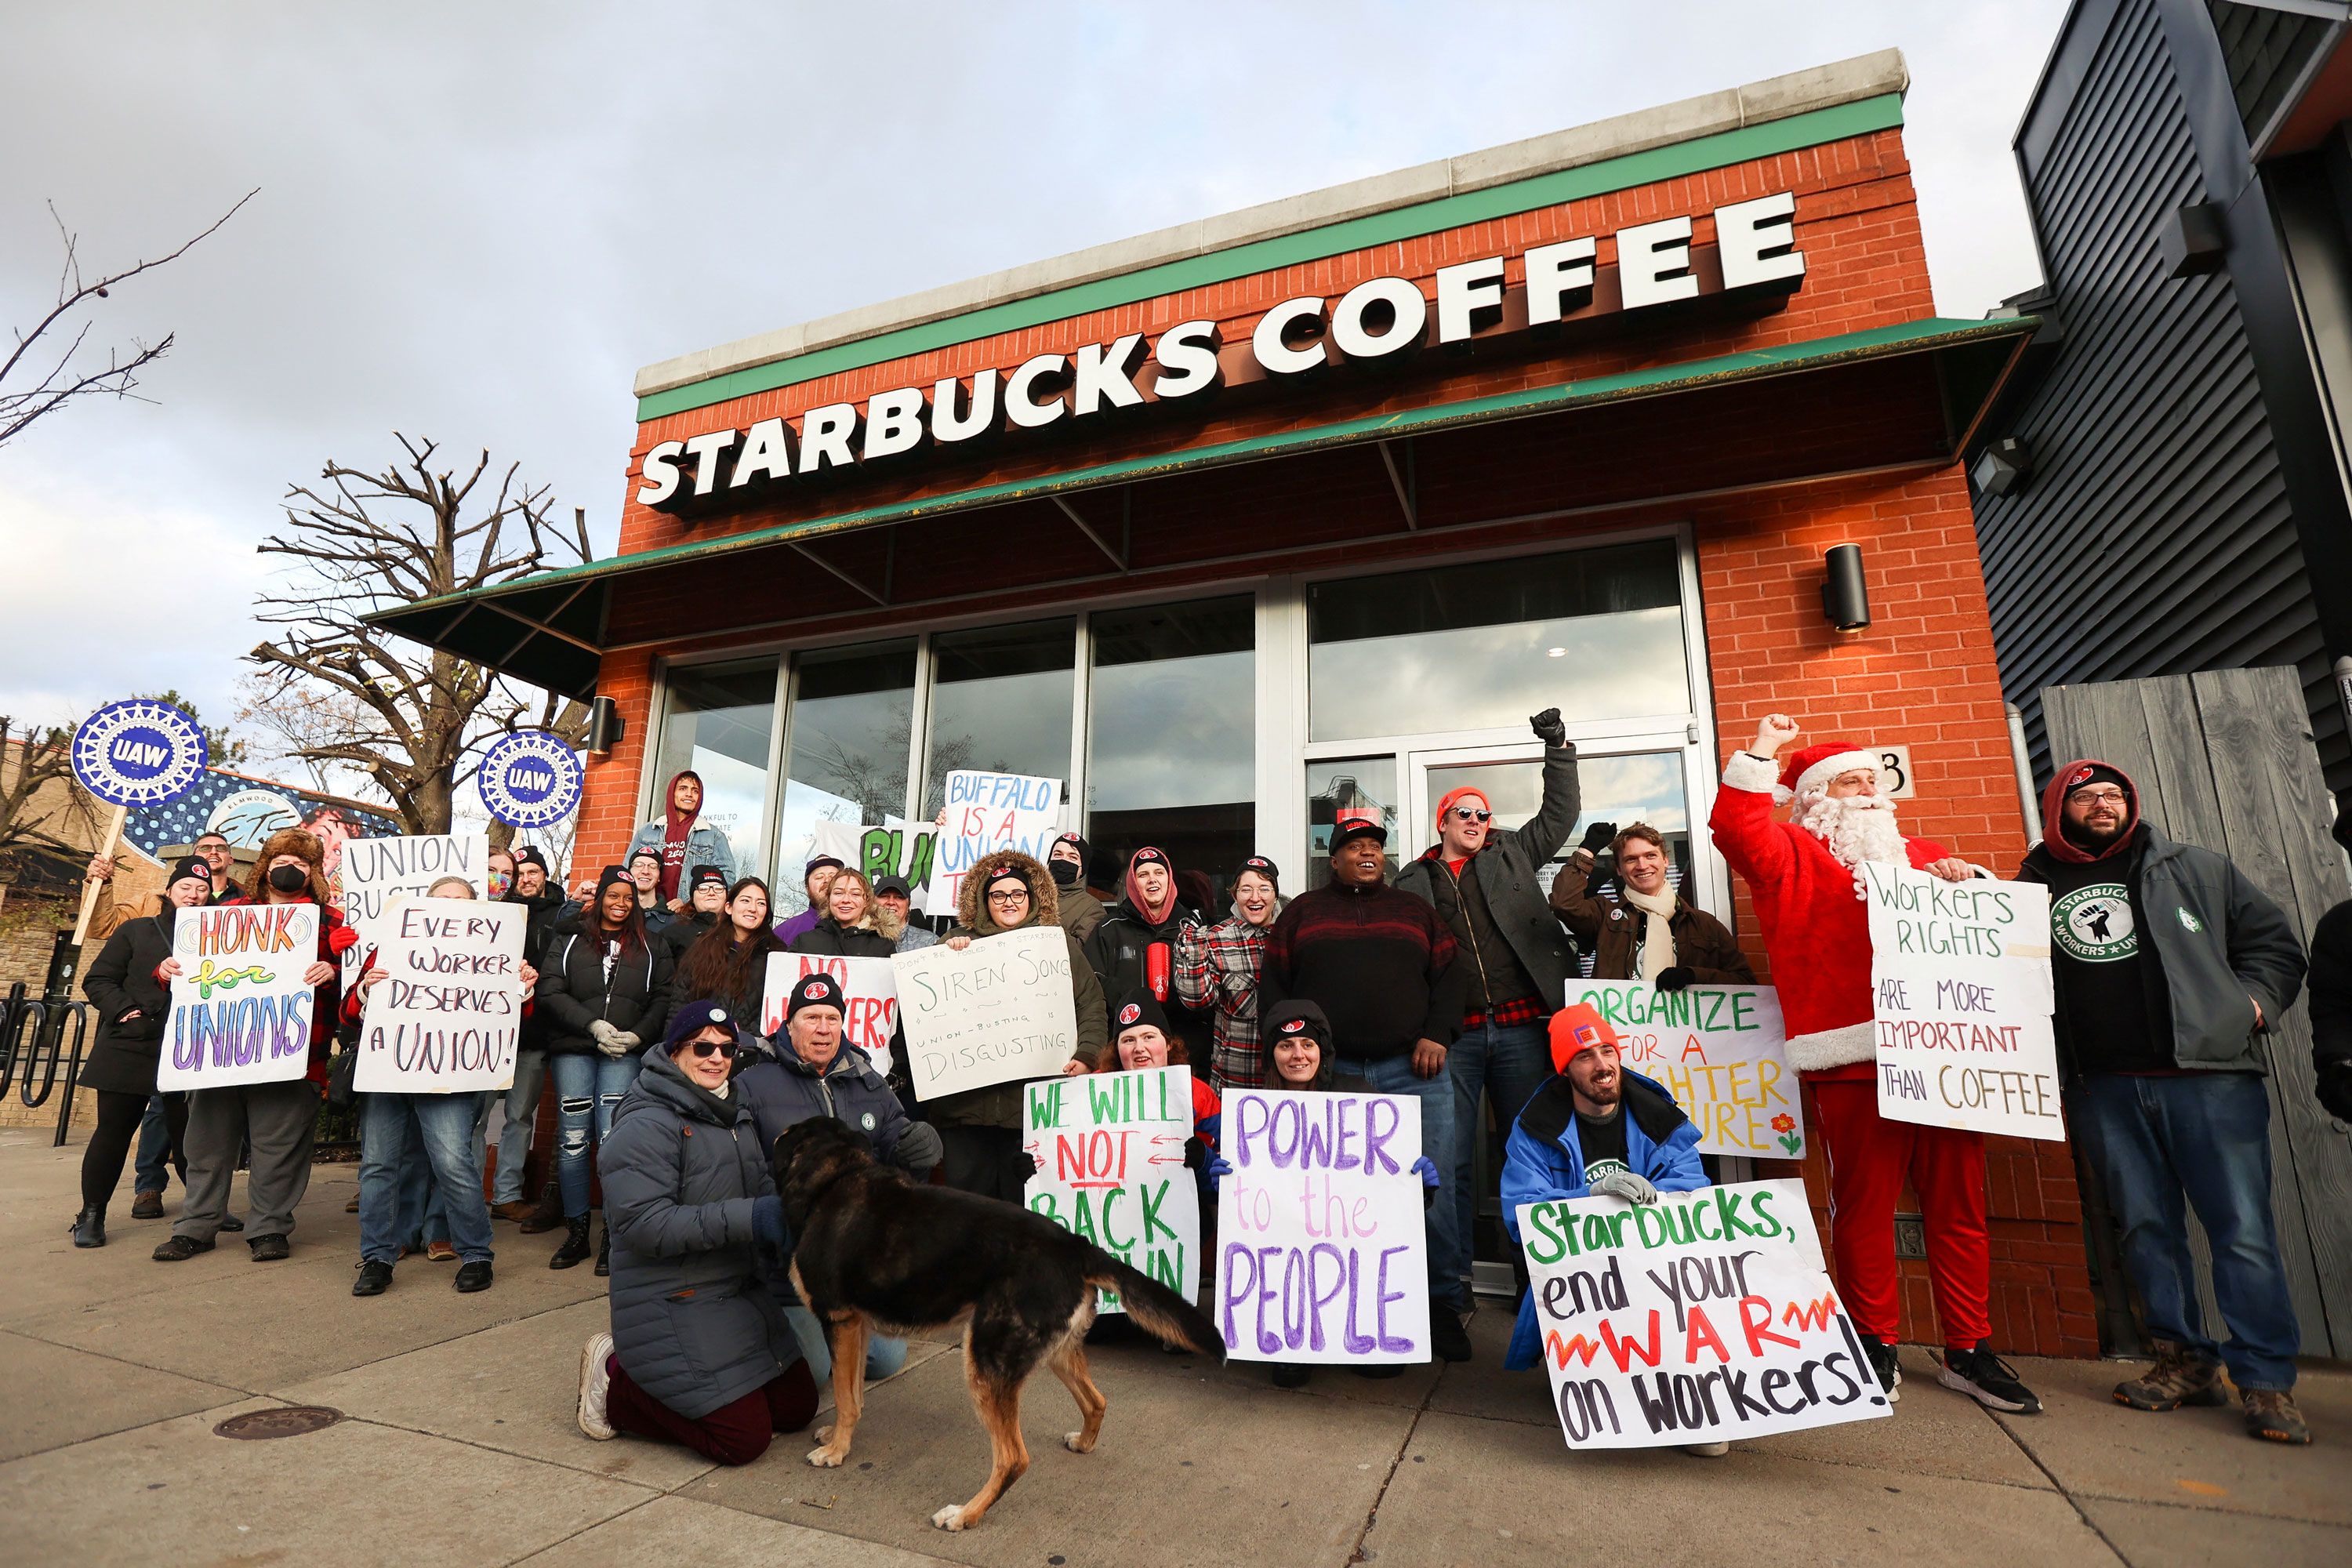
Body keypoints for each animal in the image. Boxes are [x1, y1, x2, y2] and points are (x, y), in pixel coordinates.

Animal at [776, 1114, 1223, 1533]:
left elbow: (843, 1394)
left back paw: (965, 1514)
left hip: (986, 1363)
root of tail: (1077, 1248)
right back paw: (1082, 1444)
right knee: (1096, 1402)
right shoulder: (856, 1325)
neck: (835, 1176)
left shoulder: (839, 1320)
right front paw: (838, 1437)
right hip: (1055, 1352)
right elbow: (852, 1390)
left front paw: (835, 1452)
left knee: (1014, 1459)